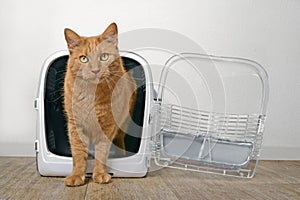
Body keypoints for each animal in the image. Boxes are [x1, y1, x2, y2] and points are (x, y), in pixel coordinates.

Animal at [64, 23, 137, 186]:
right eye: (83, 59)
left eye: (103, 57)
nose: (95, 70)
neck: (91, 95)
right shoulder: (76, 126)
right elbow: (78, 154)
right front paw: (76, 175)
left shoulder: (107, 126)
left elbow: (102, 153)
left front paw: (100, 174)